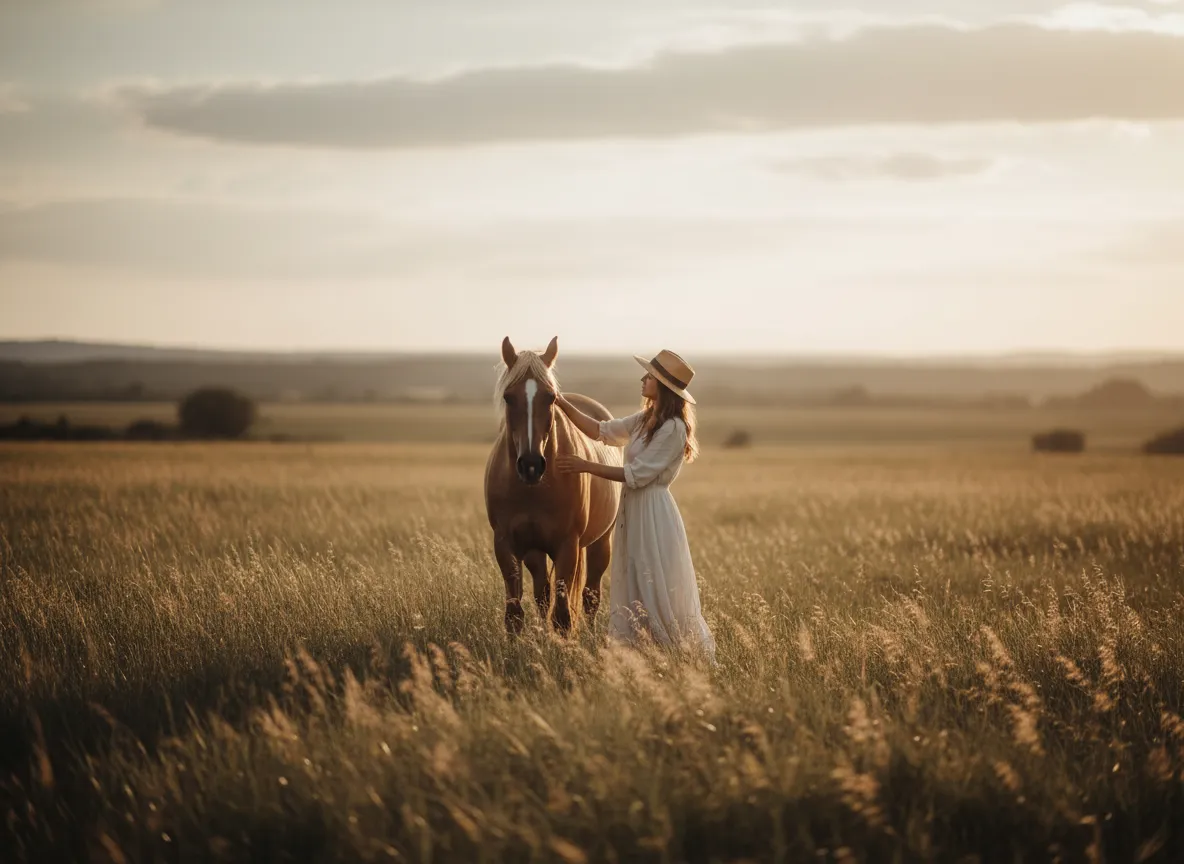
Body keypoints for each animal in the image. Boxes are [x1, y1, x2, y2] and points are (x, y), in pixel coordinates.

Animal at [484, 336, 622, 634]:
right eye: (508, 397)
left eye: (550, 397)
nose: (531, 464)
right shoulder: (506, 544)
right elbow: (515, 614)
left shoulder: (567, 546)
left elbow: (562, 616)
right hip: (535, 551)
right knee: (543, 594)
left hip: (601, 542)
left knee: (590, 595)